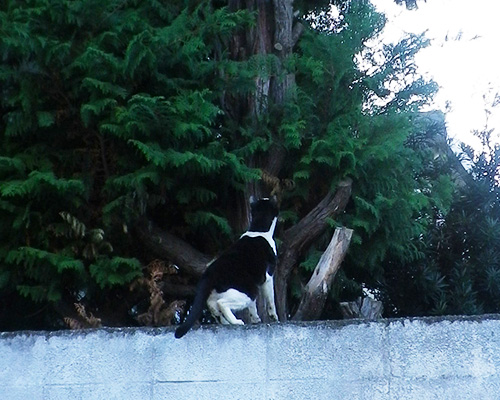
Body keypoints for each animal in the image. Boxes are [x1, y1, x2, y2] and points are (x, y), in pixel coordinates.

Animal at [174, 197, 280, 338]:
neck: (258, 230)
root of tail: (209, 273)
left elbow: (252, 307)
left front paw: (255, 319)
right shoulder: (268, 277)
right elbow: (271, 299)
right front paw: (274, 317)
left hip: (224, 291)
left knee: (212, 306)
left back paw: (224, 322)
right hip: (248, 290)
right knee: (222, 303)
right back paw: (236, 322)